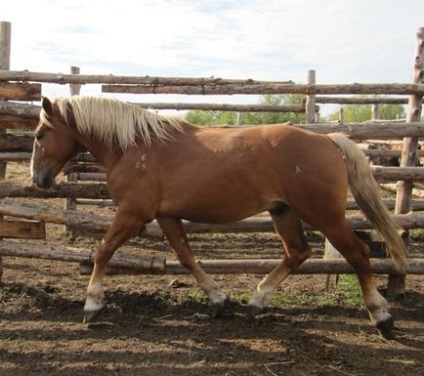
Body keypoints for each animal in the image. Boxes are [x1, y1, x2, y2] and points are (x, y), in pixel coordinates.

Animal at [30, 96, 408, 332]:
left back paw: (381, 317)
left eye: (39, 134)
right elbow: (186, 257)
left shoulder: (133, 213)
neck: (135, 147)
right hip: (283, 212)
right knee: (297, 253)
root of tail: (328, 140)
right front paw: (218, 299)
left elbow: (103, 250)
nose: (39, 179)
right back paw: (255, 301)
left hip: (323, 215)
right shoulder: (166, 216)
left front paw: (92, 306)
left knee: (358, 253)